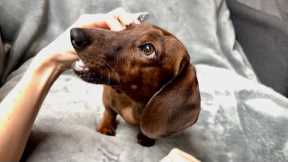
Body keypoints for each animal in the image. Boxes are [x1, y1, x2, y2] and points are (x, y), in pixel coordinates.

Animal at [70, 23, 200, 147]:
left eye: (148, 48)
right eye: (127, 27)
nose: (74, 34)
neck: (133, 102)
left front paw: (145, 138)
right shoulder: (108, 97)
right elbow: (109, 112)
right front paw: (105, 127)